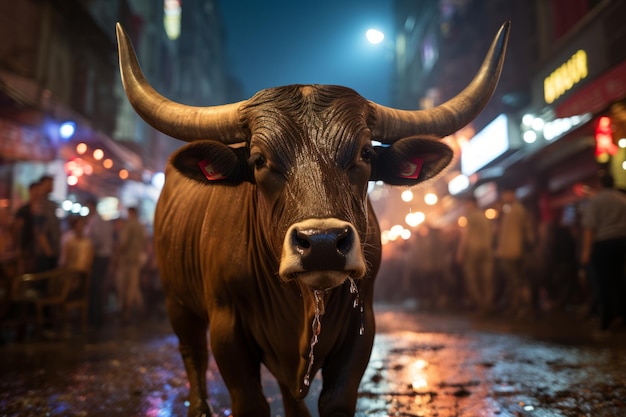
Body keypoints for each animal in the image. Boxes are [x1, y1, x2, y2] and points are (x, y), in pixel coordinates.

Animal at [116, 22, 508, 416]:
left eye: (365, 154)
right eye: (259, 160)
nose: (322, 244)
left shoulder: (360, 329)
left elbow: (334, 398)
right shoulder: (227, 329)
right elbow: (249, 400)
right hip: (177, 302)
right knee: (192, 354)